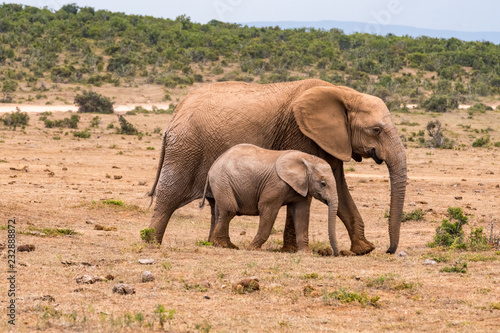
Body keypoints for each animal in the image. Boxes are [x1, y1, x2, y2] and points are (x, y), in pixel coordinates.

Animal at [200, 143, 340, 254]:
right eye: (323, 183)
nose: (335, 253)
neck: (306, 159)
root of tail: (214, 164)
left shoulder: (302, 187)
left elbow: (302, 213)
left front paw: (306, 253)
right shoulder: (276, 184)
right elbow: (268, 209)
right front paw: (252, 248)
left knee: (220, 211)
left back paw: (225, 245)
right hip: (222, 180)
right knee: (229, 210)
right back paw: (224, 245)